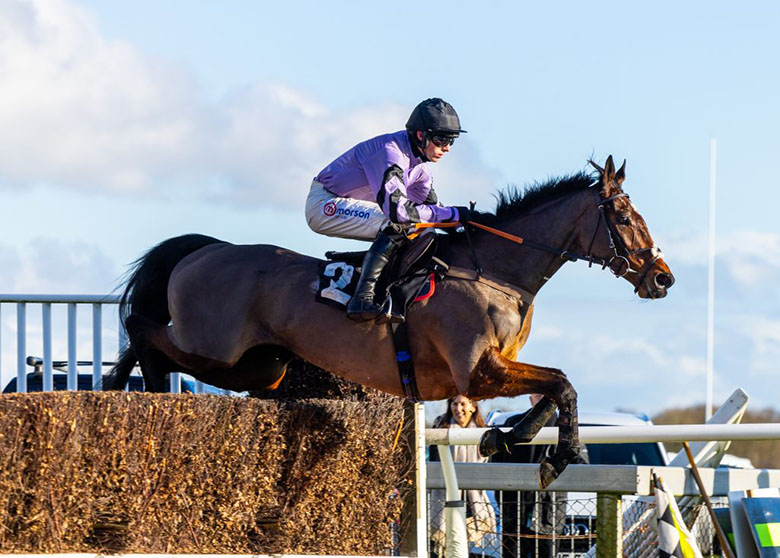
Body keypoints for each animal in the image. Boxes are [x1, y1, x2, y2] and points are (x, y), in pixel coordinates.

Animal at [105, 158, 676, 490]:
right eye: (624, 217)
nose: (662, 277)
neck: (496, 271)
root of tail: (204, 249)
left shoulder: (498, 367)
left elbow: (552, 391)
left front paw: (505, 438)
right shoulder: (476, 372)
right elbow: (562, 383)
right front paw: (560, 456)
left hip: (261, 368)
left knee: (150, 338)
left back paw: (127, 388)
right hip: (216, 351)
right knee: (142, 328)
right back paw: (140, 387)